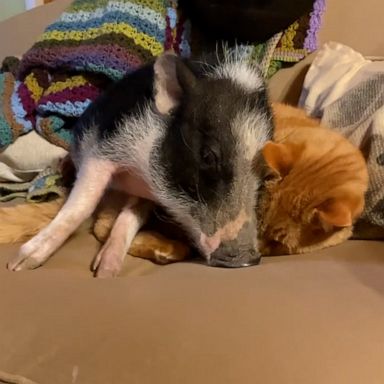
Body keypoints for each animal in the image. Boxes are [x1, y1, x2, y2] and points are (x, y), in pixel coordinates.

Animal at [6, 52, 272, 278]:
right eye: (208, 156)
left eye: (265, 173)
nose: (248, 260)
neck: (139, 175)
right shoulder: (102, 151)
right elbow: (82, 205)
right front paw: (19, 265)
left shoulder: (147, 195)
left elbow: (131, 216)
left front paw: (107, 272)